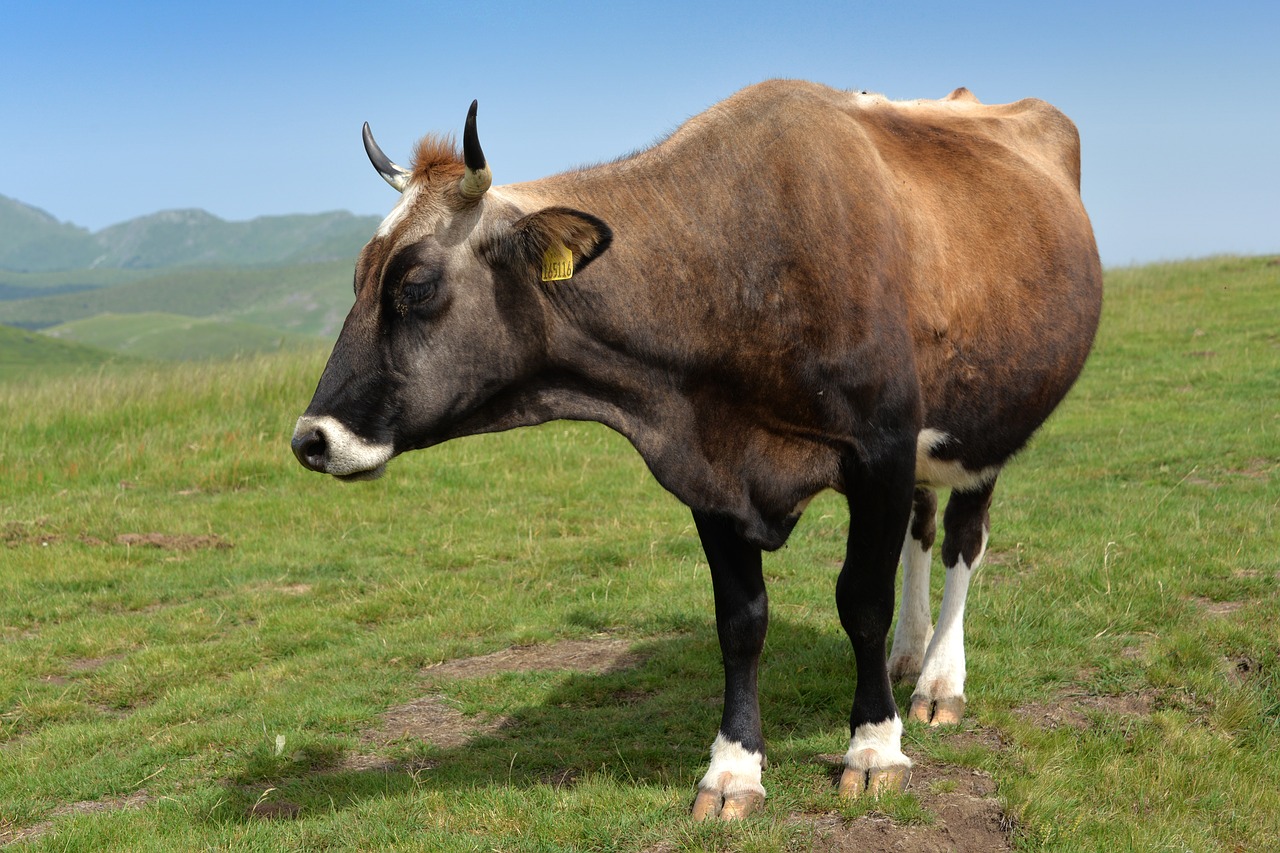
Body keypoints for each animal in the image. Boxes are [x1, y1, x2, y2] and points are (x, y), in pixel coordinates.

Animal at [290, 79, 1100, 819]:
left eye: (416, 286)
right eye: (358, 278)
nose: (311, 438)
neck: (736, 266)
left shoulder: (881, 449)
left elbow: (861, 601)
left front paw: (874, 747)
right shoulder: (711, 470)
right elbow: (740, 622)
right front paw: (734, 768)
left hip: (992, 423)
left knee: (964, 537)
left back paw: (937, 680)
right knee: (923, 530)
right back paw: (911, 652)